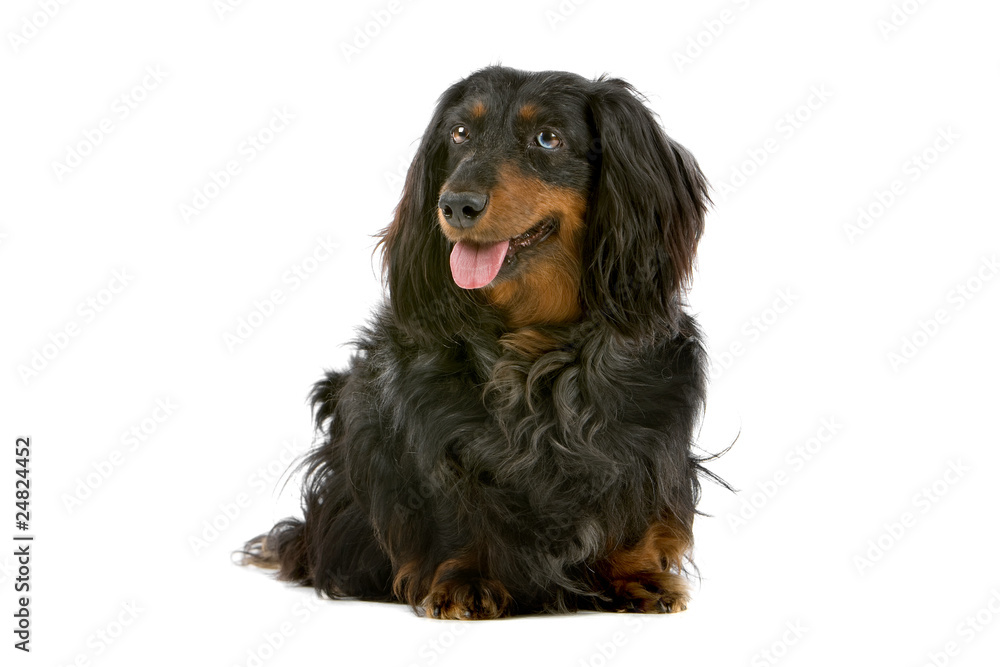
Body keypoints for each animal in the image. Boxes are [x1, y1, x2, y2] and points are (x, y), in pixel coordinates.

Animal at [242, 65, 720, 620]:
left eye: (547, 139)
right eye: (459, 133)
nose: (455, 204)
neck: (535, 342)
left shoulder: (651, 424)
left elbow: (635, 498)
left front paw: (635, 575)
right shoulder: (426, 424)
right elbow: (449, 502)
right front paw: (467, 578)